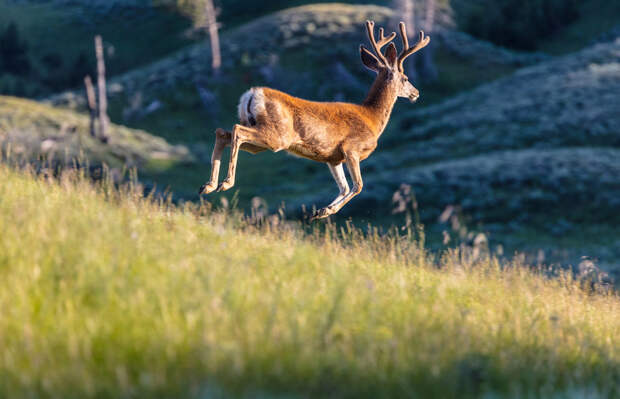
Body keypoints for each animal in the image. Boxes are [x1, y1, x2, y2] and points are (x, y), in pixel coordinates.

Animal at [201, 20, 428, 220]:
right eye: (405, 78)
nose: (416, 93)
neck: (371, 117)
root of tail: (252, 94)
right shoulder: (351, 148)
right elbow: (358, 185)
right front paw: (326, 210)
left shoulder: (333, 158)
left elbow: (344, 186)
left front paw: (321, 211)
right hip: (277, 136)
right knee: (237, 130)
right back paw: (225, 183)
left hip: (260, 139)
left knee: (223, 133)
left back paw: (208, 186)